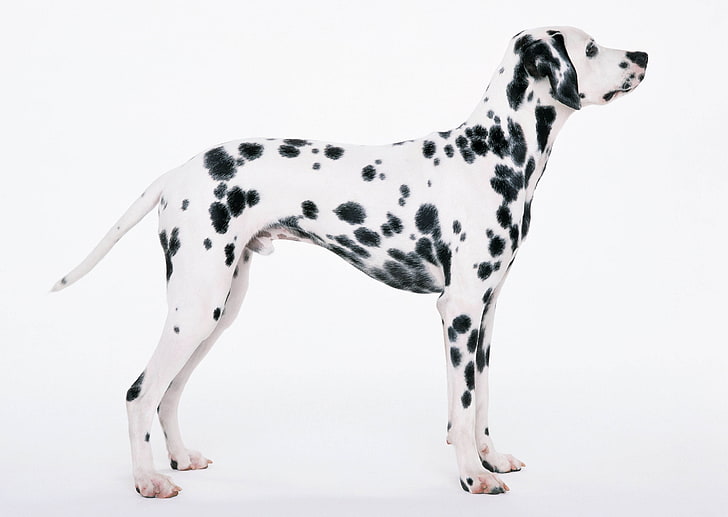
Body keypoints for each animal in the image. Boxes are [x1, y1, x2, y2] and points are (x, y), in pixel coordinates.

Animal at [55, 27, 648, 496]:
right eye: (590, 47)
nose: (643, 54)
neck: (492, 153)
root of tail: (176, 172)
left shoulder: (485, 313)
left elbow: (480, 402)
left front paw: (491, 458)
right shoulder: (457, 313)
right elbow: (460, 407)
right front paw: (471, 476)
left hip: (217, 311)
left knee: (169, 392)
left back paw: (179, 458)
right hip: (197, 309)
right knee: (140, 394)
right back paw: (146, 480)